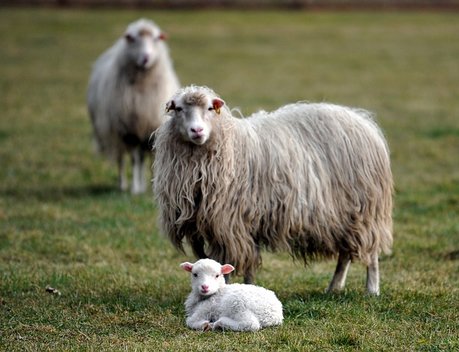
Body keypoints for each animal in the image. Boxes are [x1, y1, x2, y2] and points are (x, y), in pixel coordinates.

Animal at [87, 18, 181, 195]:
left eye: (156, 39)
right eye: (133, 39)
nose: (146, 58)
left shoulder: (151, 127)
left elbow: (151, 160)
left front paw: (151, 187)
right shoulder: (127, 130)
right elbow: (134, 160)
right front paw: (135, 188)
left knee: (141, 158)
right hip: (117, 134)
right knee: (122, 160)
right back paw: (123, 184)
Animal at [154, 84, 392, 294]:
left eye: (210, 109)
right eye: (179, 109)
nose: (197, 130)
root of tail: (363, 120)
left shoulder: (232, 223)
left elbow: (229, 265)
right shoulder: (217, 225)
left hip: (364, 210)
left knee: (371, 253)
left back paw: (372, 289)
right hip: (344, 216)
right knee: (345, 254)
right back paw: (334, 287)